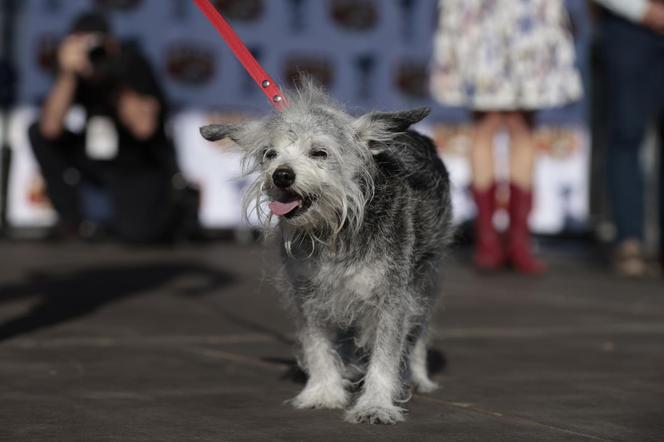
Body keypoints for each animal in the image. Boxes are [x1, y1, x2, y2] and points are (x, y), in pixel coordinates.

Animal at [200, 81, 454, 424]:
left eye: (319, 152)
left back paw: (415, 376)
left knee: (418, 330)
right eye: (270, 154)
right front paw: (323, 391)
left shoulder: (392, 296)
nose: (281, 175)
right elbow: (318, 346)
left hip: (425, 277)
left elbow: (386, 352)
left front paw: (376, 402)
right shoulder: (309, 295)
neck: (334, 228)